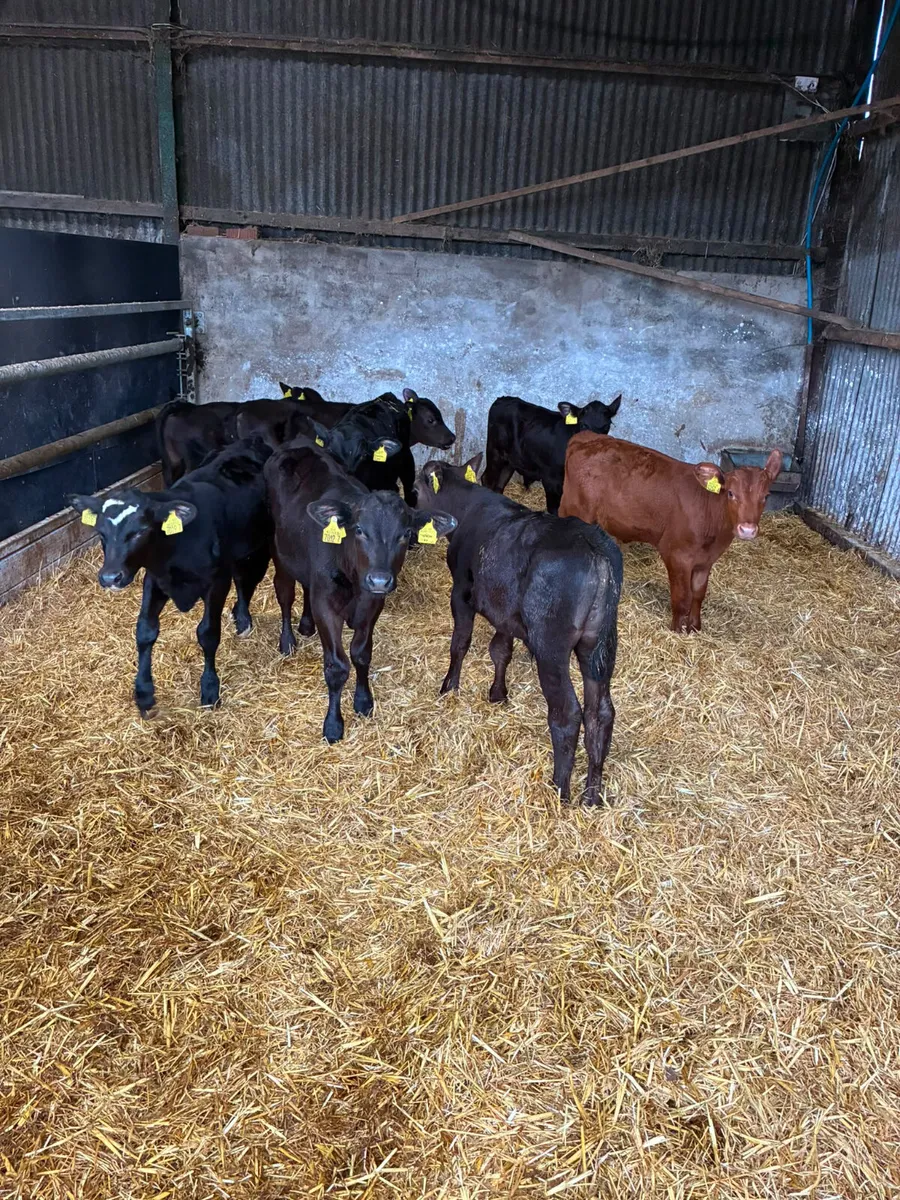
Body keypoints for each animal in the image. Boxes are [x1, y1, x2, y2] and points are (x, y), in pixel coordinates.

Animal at [68, 439, 274, 715]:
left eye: (141, 531)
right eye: (101, 532)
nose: (110, 577)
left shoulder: (217, 582)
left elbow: (208, 633)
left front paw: (210, 688)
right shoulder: (154, 580)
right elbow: (145, 630)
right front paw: (144, 692)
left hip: (258, 548)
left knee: (246, 581)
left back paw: (242, 618)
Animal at [266, 442, 456, 743]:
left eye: (405, 533)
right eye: (359, 530)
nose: (379, 579)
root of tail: (296, 446)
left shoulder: (372, 604)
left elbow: (361, 654)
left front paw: (364, 701)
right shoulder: (326, 606)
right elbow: (337, 666)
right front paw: (333, 724)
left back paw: (306, 625)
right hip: (279, 551)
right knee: (284, 593)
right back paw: (287, 641)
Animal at [417, 453, 622, 805]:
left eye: (416, 490)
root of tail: (595, 549)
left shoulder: (461, 593)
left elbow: (460, 643)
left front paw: (449, 687)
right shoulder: (505, 611)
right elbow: (500, 650)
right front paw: (498, 694)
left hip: (551, 645)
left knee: (567, 712)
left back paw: (560, 789)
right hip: (600, 645)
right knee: (601, 714)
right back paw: (592, 795)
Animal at [482, 393, 621, 515]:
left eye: (606, 426)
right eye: (583, 424)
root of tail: (503, 399)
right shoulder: (551, 479)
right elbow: (555, 509)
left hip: (510, 460)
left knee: (500, 484)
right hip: (495, 452)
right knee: (487, 479)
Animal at [559, 433, 783, 634]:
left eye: (766, 496)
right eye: (730, 493)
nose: (747, 529)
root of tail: (586, 438)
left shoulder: (706, 561)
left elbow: (698, 594)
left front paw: (695, 627)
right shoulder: (676, 555)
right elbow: (682, 598)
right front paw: (677, 630)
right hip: (575, 510)